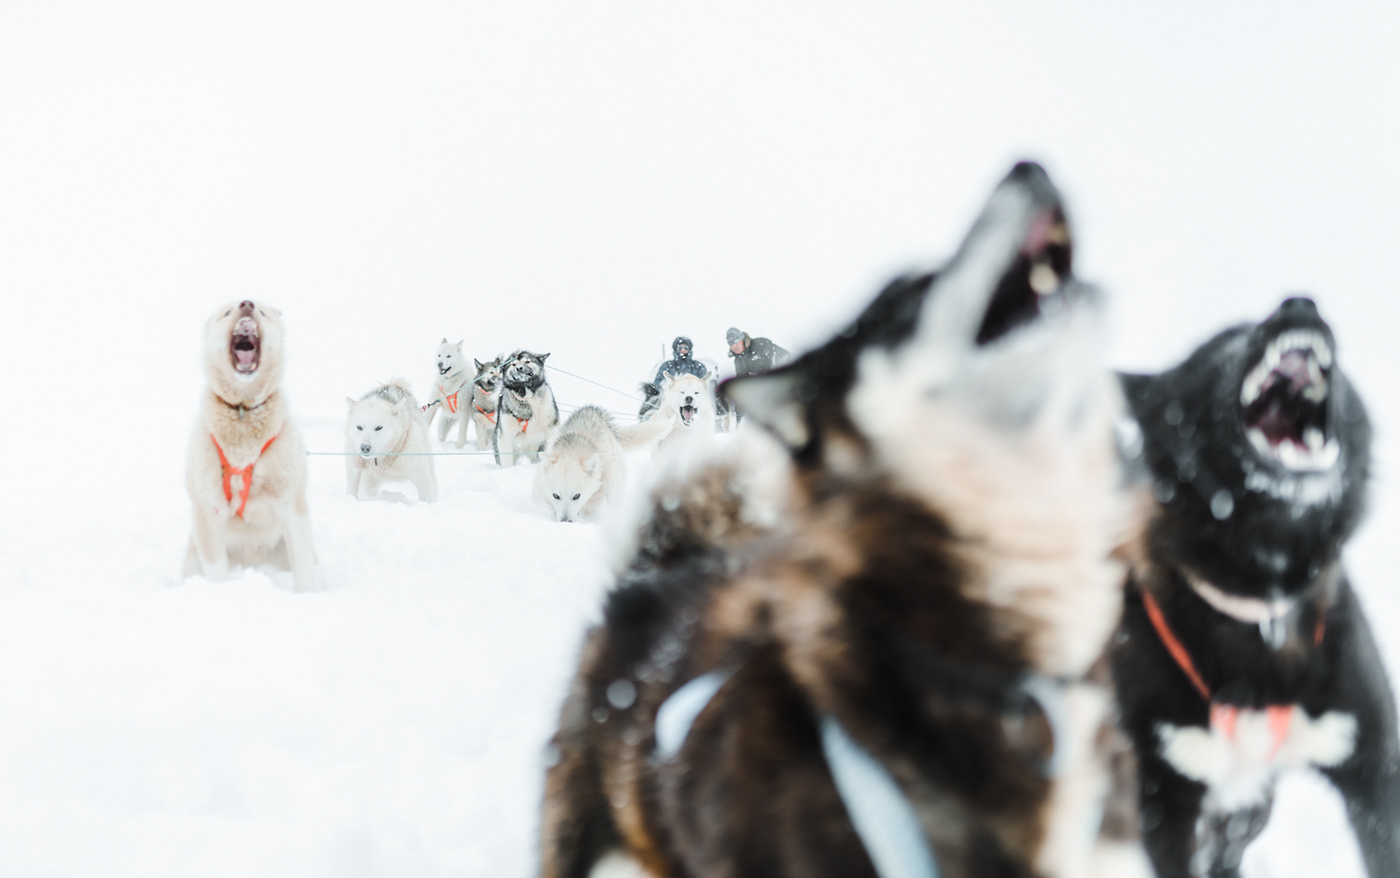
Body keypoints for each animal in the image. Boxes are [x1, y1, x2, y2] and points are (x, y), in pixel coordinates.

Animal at [180, 298, 317, 593]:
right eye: (227, 312)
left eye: (262, 312)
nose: (247, 302)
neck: (243, 410)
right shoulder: (209, 509)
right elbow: (216, 570)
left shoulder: (292, 504)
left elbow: (303, 566)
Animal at [1108, 301, 1394, 878]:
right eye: (1225, 343)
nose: (1300, 303)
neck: (1263, 607)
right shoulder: (1162, 803)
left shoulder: (1372, 772)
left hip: (1247, 811)